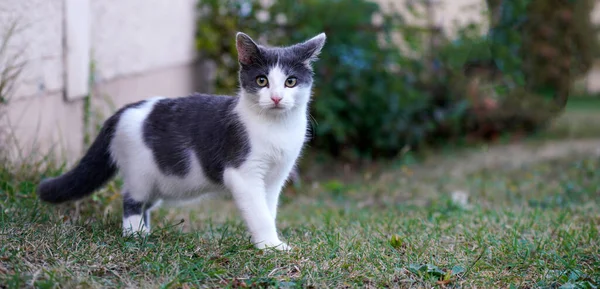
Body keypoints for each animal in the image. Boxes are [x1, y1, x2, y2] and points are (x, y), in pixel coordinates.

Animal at [36, 31, 328, 250]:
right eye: (262, 80)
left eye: (290, 82)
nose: (277, 98)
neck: (276, 128)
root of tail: (123, 111)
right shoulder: (242, 173)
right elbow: (258, 212)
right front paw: (271, 246)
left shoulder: (276, 176)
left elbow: (268, 208)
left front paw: (264, 242)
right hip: (140, 170)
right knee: (131, 199)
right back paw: (135, 234)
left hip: (159, 177)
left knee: (147, 203)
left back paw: (145, 229)